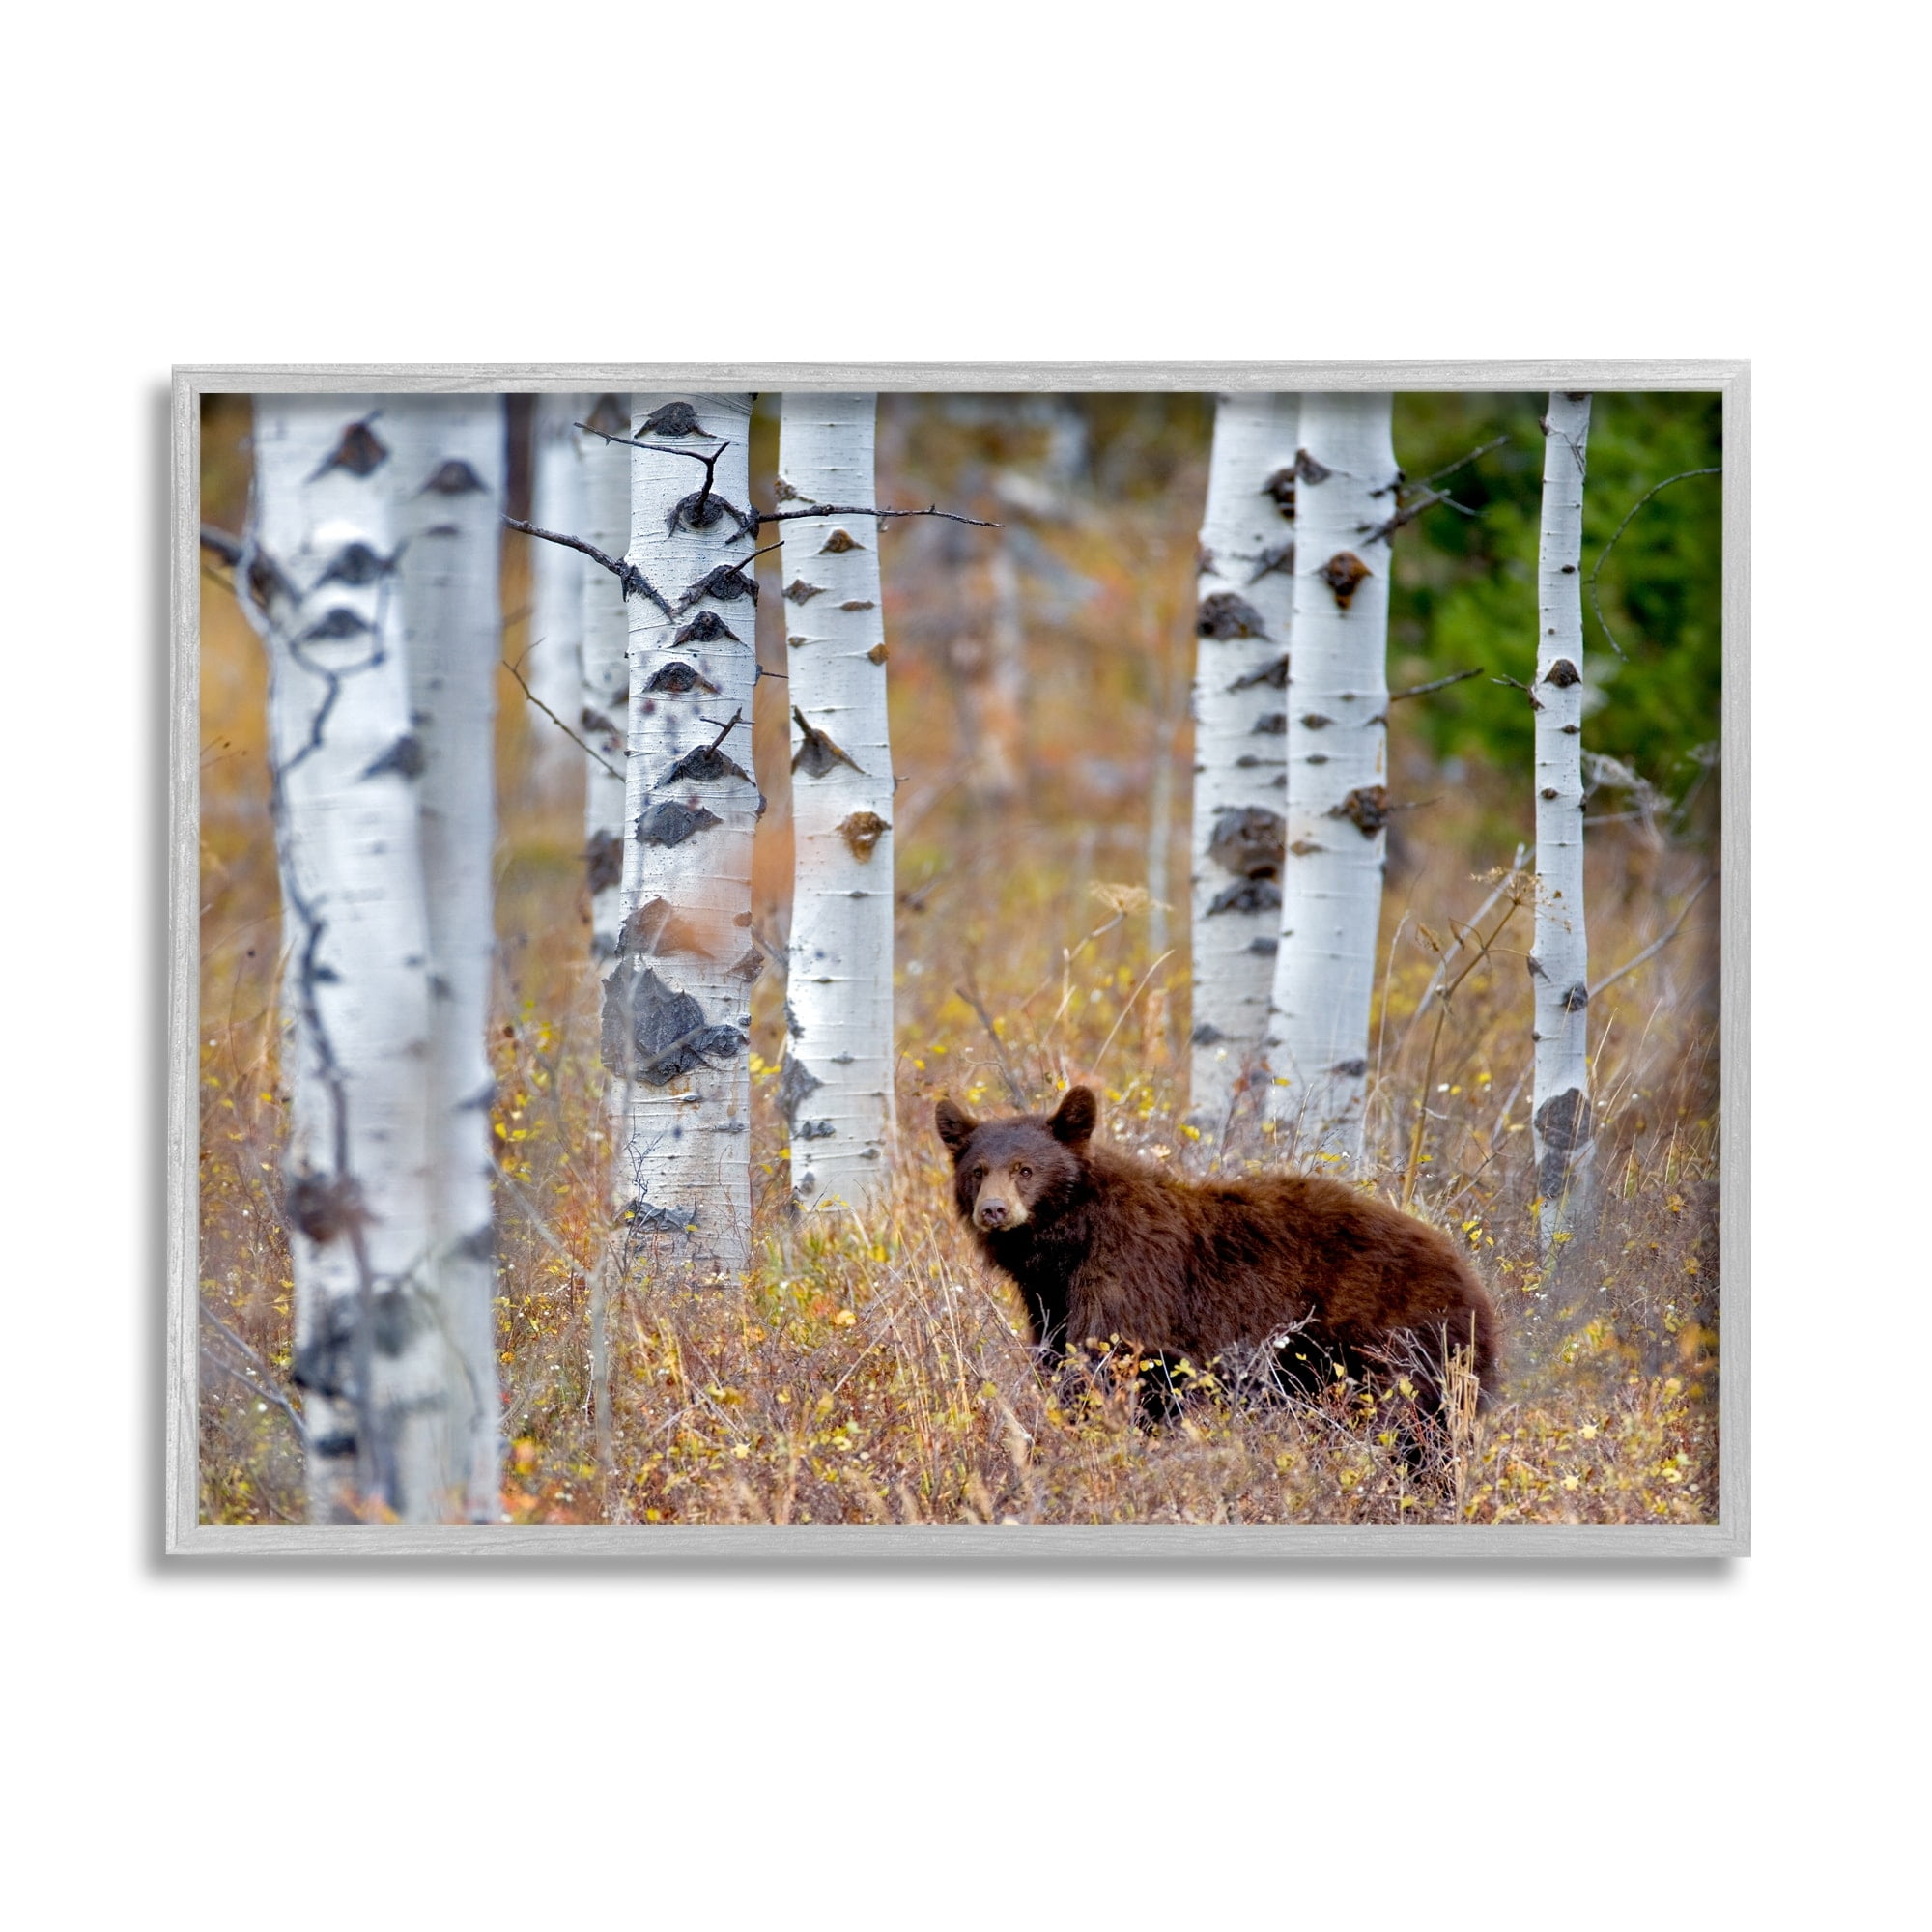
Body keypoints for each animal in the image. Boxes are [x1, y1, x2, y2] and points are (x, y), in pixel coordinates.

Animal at [935, 1085, 1498, 1429]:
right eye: (978, 1171)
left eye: (1025, 1169)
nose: (994, 1210)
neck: (1069, 1242)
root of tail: (1471, 1281)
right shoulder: (1049, 1300)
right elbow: (1061, 1357)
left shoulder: (1131, 1280)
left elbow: (1110, 1362)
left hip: (1394, 1341)